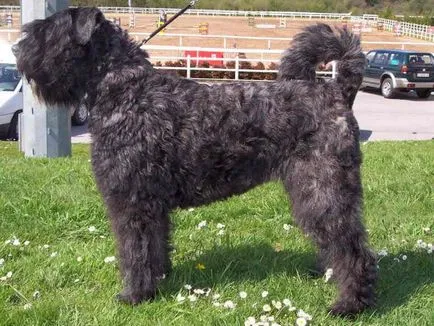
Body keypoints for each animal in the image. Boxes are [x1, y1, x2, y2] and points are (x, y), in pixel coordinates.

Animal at [14, 7, 376, 316]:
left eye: (48, 32)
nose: (17, 51)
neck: (128, 93)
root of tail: (337, 92)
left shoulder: (131, 202)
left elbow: (133, 251)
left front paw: (133, 295)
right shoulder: (152, 204)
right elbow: (155, 246)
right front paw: (158, 282)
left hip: (322, 188)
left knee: (352, 247)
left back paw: (349, 303)